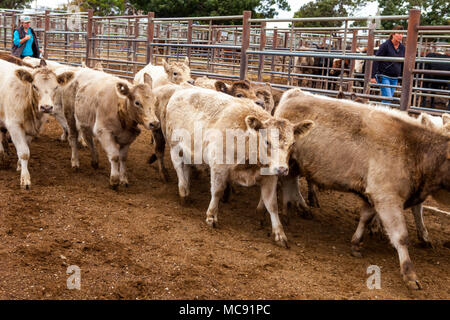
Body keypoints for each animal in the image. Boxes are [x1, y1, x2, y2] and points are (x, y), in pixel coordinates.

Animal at [274, 89, 450, 288]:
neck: (415, 149)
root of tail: (294, 93)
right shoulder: (387, 198)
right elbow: (401, 236)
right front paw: (409, 274)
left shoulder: (373, 195)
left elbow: (365, 218)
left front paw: (356, 243)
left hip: (294, 165)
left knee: (289, 182)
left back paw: (292, 210)